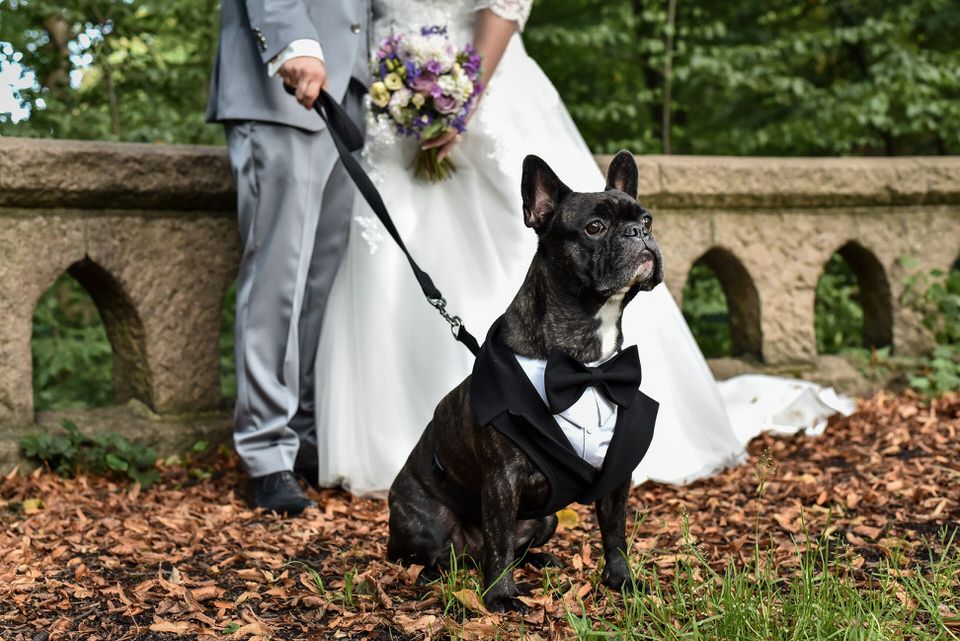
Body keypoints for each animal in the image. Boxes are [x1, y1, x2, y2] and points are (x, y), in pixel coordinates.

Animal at [386, 150, 664, 608]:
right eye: (595, 227)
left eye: (647, 219)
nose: (638, 232)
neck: (585, 367)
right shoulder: (503, 479)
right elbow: (498, 541)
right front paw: (500, 597)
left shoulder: (617, 474)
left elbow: (615, 532)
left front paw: (622, 581)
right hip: (427, 522)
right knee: (448, 553)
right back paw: (436, 574)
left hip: (546, 518)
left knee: (511, 549)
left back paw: (541, 561)